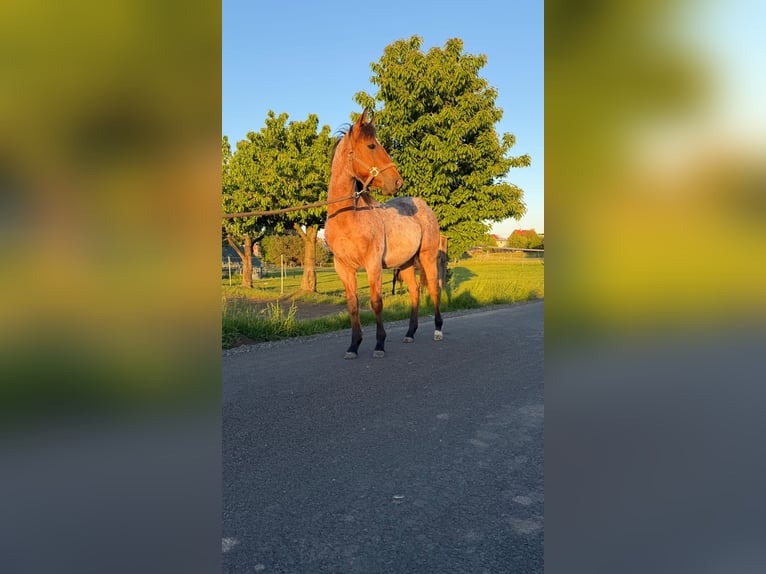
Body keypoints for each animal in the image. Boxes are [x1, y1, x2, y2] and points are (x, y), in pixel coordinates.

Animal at [324, 108, 443, 359]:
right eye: (371, 146)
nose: (397, 181)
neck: (348, 217)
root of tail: (422, 205)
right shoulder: (344, 267)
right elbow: (353, 305)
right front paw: (353, 346)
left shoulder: (373, 264)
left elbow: (376, 302)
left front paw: (379, 344)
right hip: (406, 263)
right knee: (415, 291)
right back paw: (410, 333)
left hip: (427, 257)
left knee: (434, 289)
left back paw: (438, 330)